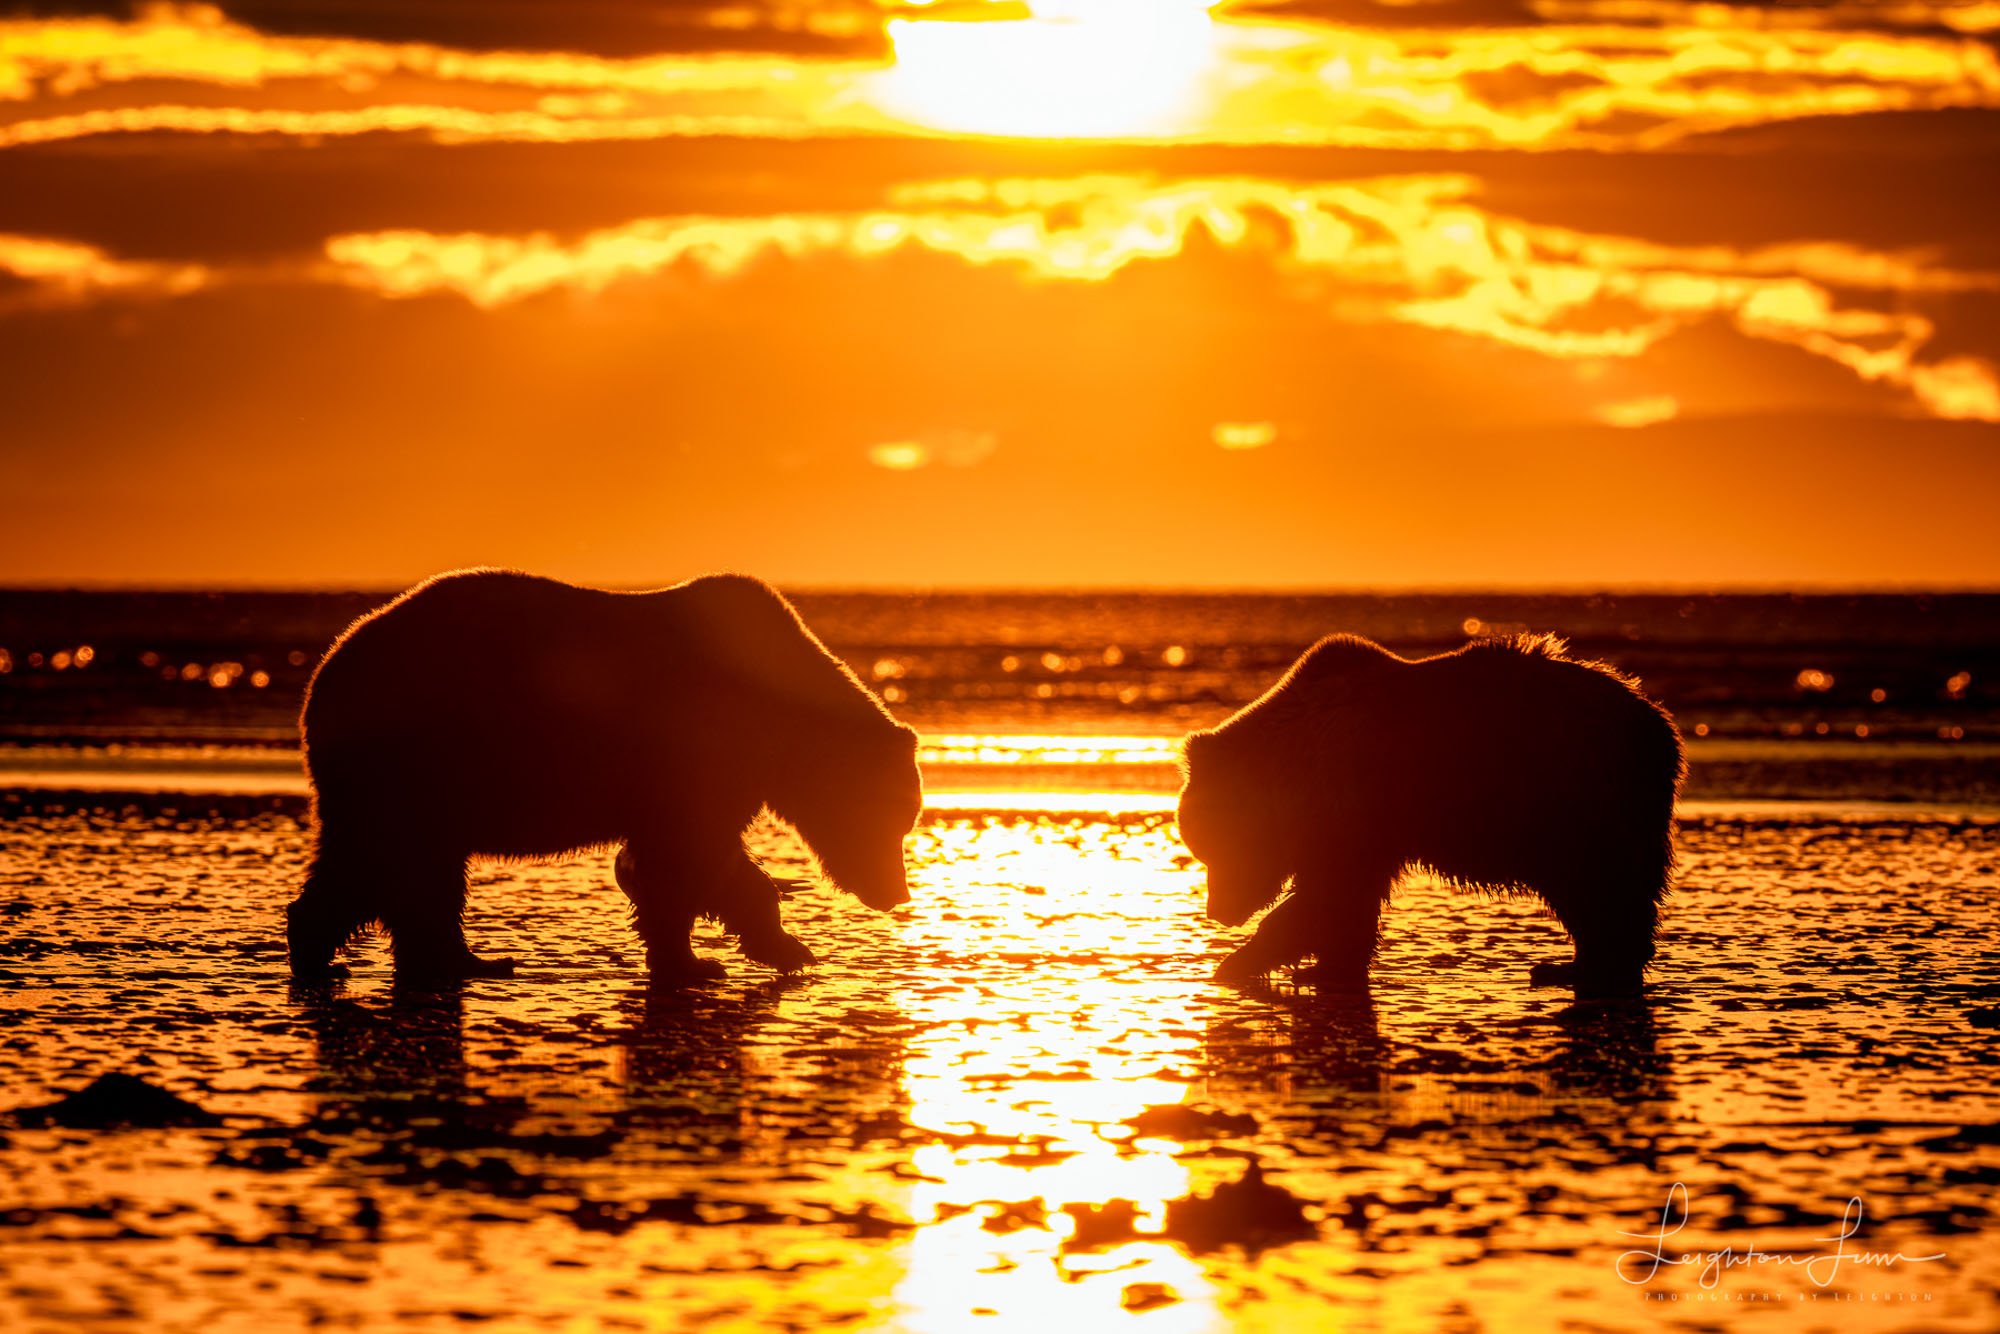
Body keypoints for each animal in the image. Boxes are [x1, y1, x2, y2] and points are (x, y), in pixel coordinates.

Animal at [287, 569, 923, 985]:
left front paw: (733, 951)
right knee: (391, 860)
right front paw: (742, 955)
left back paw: (449, 958)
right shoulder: (697, 753)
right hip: (413, 757)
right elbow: (692, 858)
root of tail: (325, 672)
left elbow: (691, 860)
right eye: (894, 817)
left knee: (398, 867)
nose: (896, 892)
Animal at [1176, 632, 1683, 1000]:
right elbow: (1349, 903)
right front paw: (1325, 968)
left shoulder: (1350, 805)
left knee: (1597, 884)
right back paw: (1579, 965)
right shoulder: (1369, 830)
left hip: (1575, 795)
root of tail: (1658, 721)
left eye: (1213, 848)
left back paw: (1582, 966)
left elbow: (1329, 896)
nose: (1218, 911)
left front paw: (1238, 962)